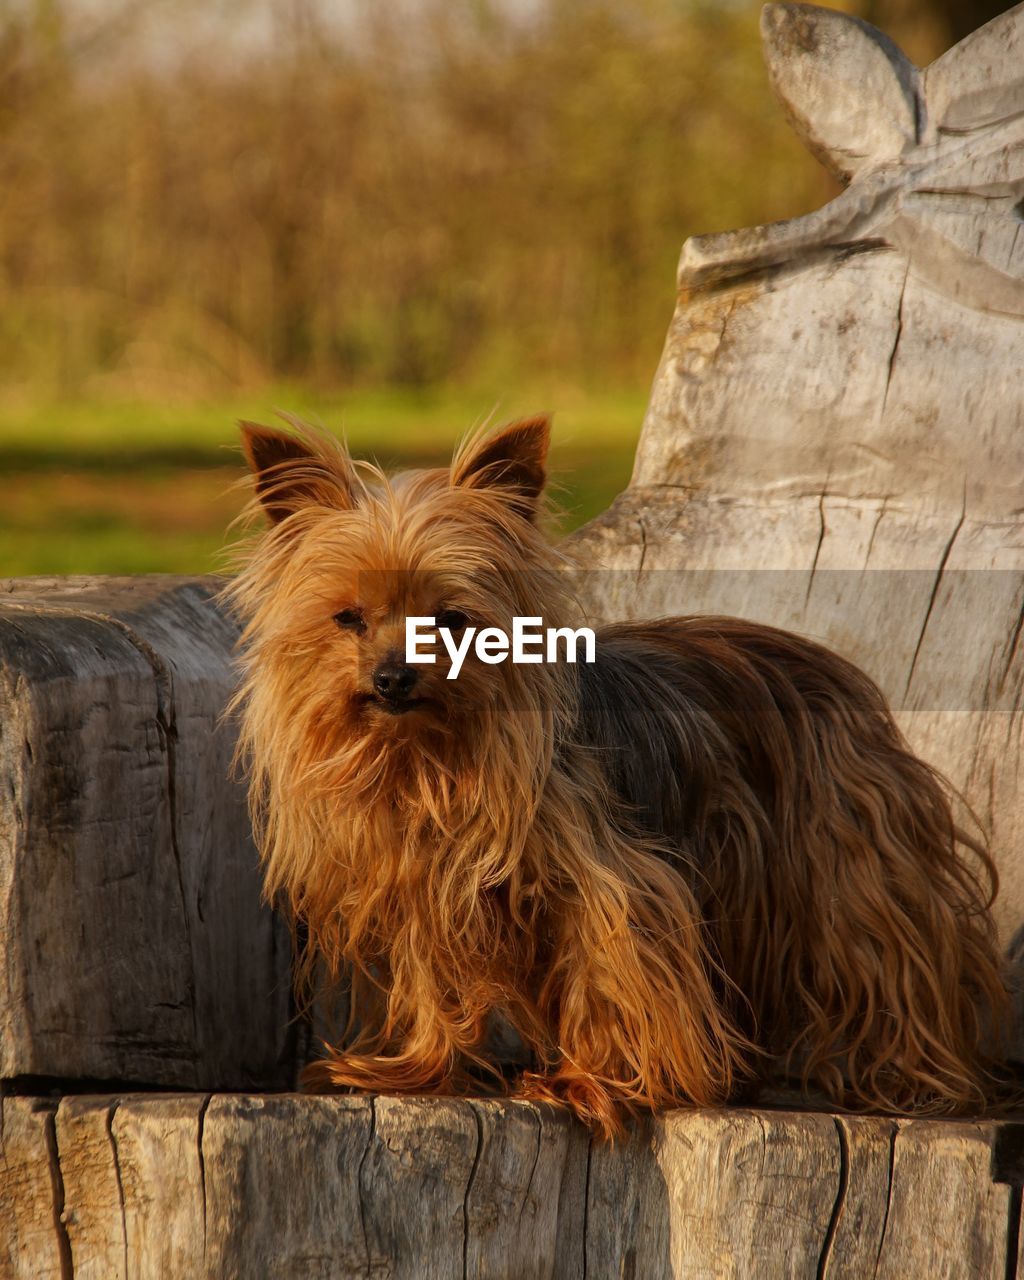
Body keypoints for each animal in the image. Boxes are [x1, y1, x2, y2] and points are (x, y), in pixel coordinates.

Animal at [226, 414, 1008, 1136]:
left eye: (450, 618)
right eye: (347, 617)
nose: (393, 679)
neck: (429, 760)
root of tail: (832, 664)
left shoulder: (609, 883)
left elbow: (609, 971)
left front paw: (589, 1082)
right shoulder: (417, 884)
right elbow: (428, 980)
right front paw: (412, 1070)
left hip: (849, 857)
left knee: (887, 960)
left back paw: (915, 1079)